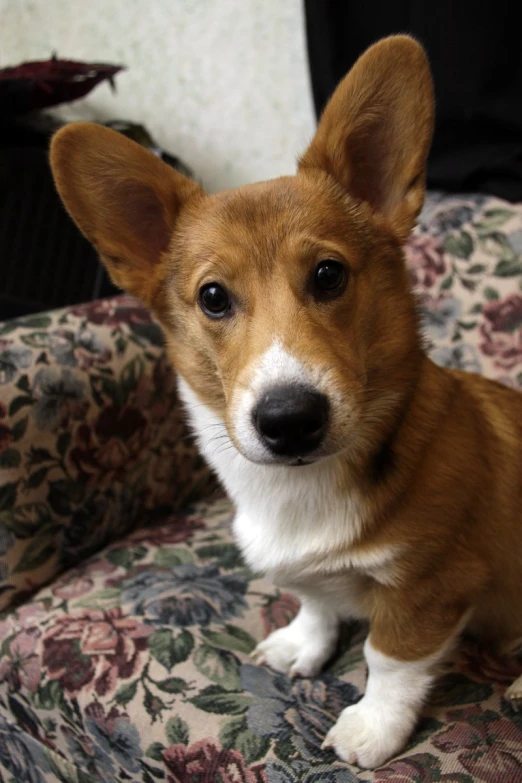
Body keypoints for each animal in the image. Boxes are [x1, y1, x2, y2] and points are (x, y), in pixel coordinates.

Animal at [48, 38, 520, 772]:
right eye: (213, 296)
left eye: (329, 274)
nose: (289, 420)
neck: (301, 490)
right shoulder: (320, 580)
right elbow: (318, 603)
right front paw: (301, 644)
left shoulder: (435, 584)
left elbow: (389, 657)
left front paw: (370, 728)